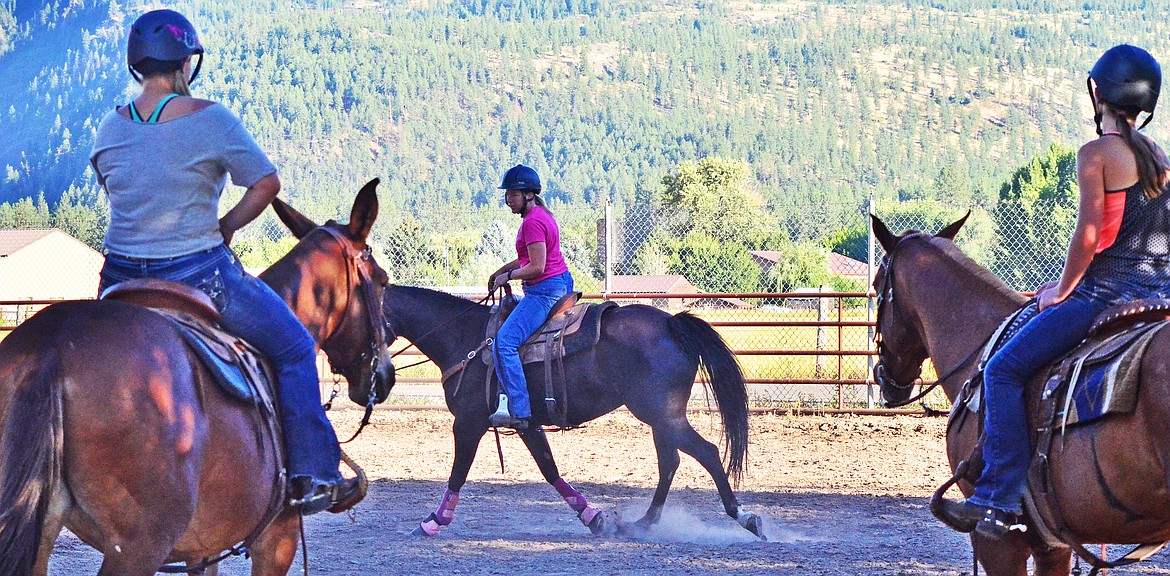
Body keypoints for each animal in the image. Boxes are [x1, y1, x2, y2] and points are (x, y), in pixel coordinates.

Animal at [0, 181, 395, 576]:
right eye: (381, 281)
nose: (386, 375)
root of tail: (52, 344)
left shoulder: (202, 550)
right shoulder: (278, 540)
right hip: (137, 546)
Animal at [376, 285, 767, 543]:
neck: (463, 338)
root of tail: (672, 324)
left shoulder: (468, 424)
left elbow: (457, 474)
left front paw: (432, 522)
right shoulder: (528, 424)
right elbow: (549, 469)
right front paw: (593, 518)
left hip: (663, 416)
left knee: (706, 453)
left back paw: (745, 518)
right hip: (662, 419)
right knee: (671, 461)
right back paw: (642, 523)